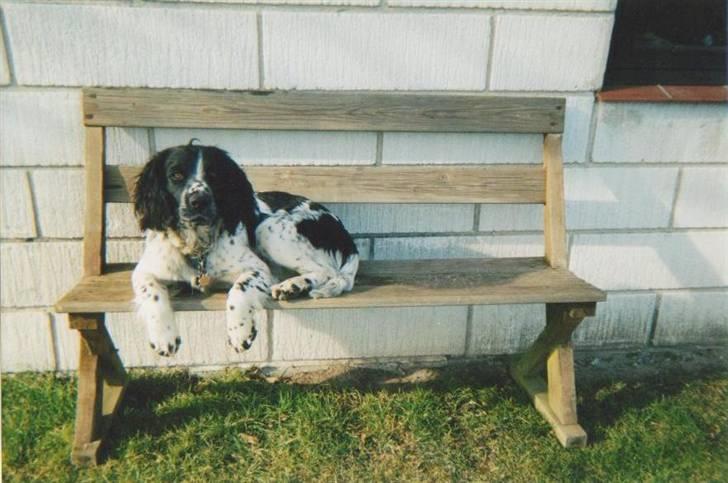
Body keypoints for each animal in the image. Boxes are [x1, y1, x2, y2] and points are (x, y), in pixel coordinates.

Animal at [132, 142, 360, 358]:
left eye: (214, 176)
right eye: (176, 175)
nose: (199, 201)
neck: (198, 247)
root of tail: (345, 235)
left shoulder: (258, 268)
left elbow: (239, 289)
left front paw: (239, 331)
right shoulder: (144, 271)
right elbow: (153, 292)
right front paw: (164, 336)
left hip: (266, 228)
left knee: (326, 271)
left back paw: (292, 285)